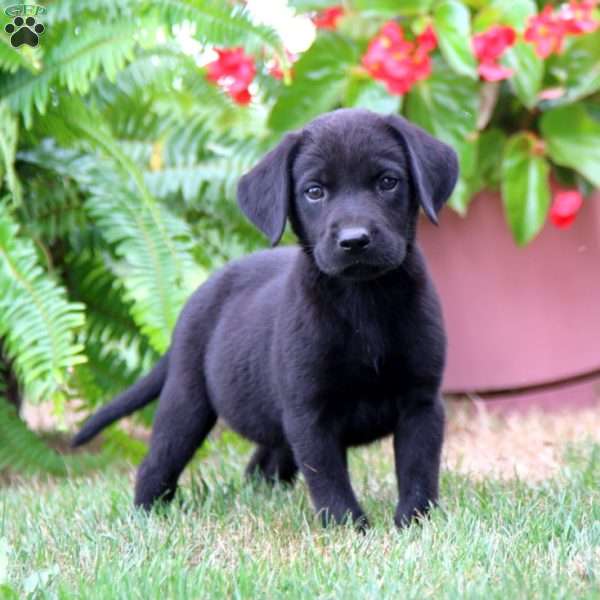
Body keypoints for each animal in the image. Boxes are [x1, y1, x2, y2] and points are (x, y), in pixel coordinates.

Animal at [75, 109, 460, 528]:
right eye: (314, 191)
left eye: (388, 182)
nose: (354, 240)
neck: (363, 303)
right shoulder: (309, 413)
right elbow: (328, 479)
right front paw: (349, 526)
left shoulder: (421, 402)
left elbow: (418, 470)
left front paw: (414, 522)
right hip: (186, 401)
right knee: (157, 464)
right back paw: (148, 516)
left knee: (261, 466)